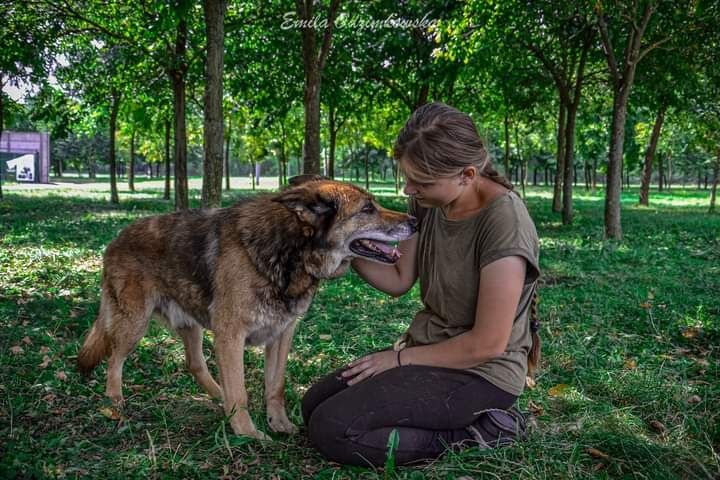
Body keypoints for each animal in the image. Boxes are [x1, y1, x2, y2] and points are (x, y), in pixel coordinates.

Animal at [76, 176, 416, 438]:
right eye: (368, 209)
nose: (414, 221)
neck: (289, 250)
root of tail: (115, 239)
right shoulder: (230, 334)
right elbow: (240, 392)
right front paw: (247, 432)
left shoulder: (282, 334)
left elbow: (275, 386)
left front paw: (279, 424)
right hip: (134, 322)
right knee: (114, 358)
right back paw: (115, 400)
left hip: (190, 324)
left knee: (195, 365)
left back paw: (218, 396)